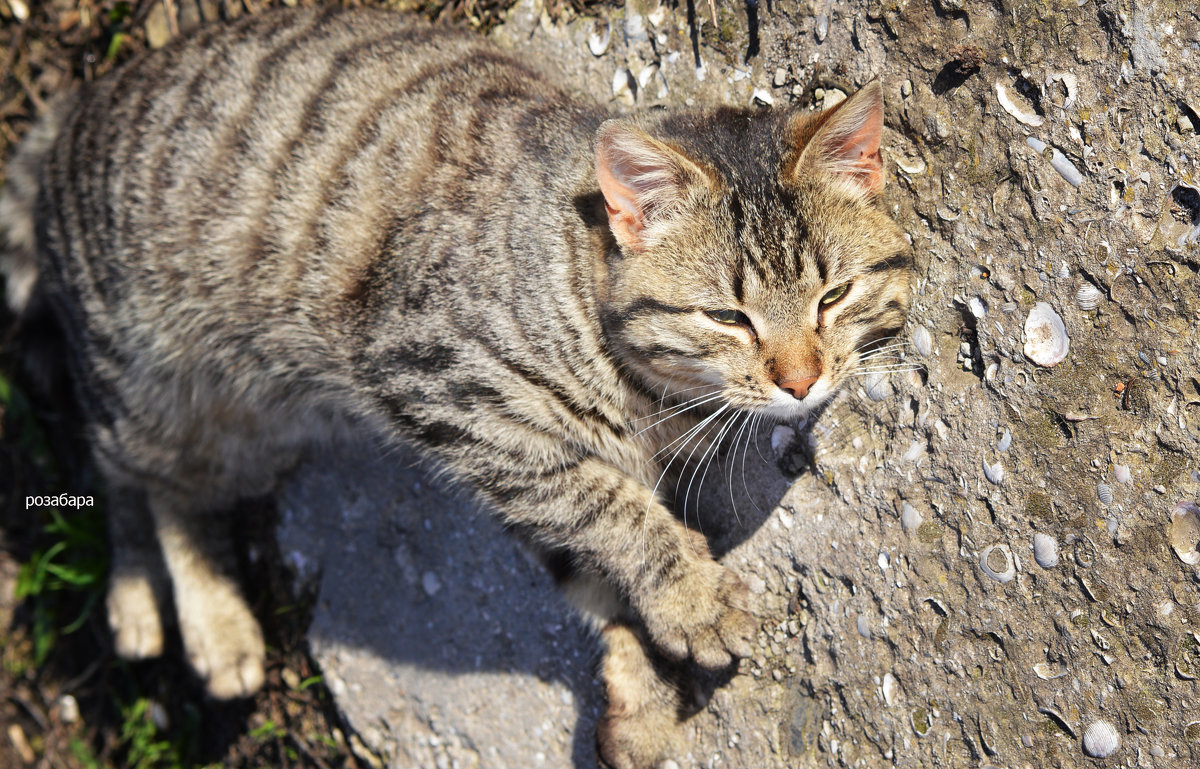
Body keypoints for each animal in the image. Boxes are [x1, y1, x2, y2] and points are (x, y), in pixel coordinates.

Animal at [2, 4, 907, 763]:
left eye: (834, 295)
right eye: (728, 316)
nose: (801, 379)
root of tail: (78, 105)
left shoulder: (506, 467)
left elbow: (587, 562)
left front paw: (640, 694)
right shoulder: (443, 387)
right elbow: (613, 512)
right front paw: (691, 597)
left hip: (247, 426)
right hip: (149, 382)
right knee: (129, 475)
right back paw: (185, 615)